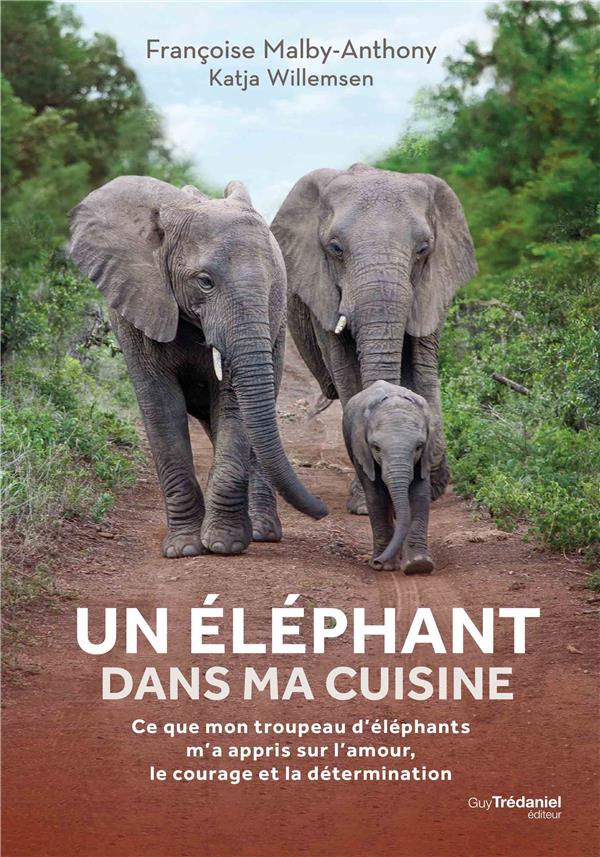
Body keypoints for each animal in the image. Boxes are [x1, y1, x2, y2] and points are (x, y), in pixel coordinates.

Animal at [69, 175, 327, 558]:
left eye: (272, 286)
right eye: (205, 281)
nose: (323, 511)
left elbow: (234, 406)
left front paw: (223, 544)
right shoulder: (136, 305)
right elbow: (161, 408)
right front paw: (184, 549)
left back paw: (262, 532)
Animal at [271, 163, 476, 513]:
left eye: (423, 249)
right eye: (335, 248)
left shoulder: (432, 286)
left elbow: (423, 372)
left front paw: (430, 487)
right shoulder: (323, 293)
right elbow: (347, 374)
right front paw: (366, 503)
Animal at [343, 381, 434, 572]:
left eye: (419, 446)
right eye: (376, 447)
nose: (377, 562)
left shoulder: (426, 454)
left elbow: (420, 494)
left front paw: (418, 564)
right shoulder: (362, 450)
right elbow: (377, 496)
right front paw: (385, 566)